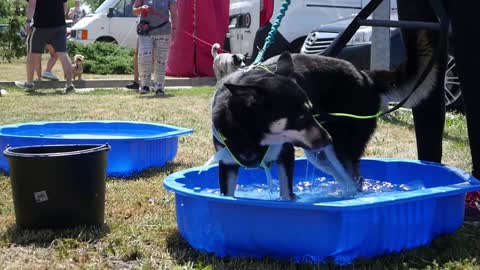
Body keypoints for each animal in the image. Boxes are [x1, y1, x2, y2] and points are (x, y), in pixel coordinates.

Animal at [212, 29, 440, 199]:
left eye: (311, 111)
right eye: (301, 116)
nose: (328, 138)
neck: (251, 131)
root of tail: (366, 76)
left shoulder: (286, 157)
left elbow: (286, 195)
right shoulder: (227, 165)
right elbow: (227, 196)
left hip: (340, 149)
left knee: (355, 181)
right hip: (320, 155)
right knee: (347, 180)